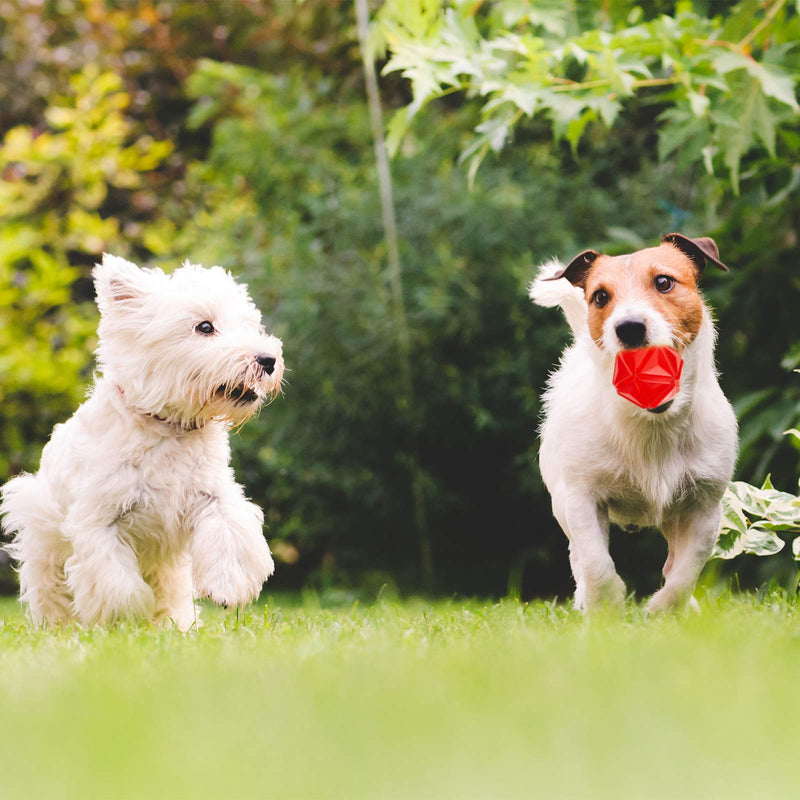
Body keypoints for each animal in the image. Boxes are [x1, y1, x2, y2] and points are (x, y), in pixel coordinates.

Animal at [0, 253, 284, 628]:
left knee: (170, 594)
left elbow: (229, 531)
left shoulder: (211, 494)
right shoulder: (99, 519)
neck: (169, 427)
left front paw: (227, 588)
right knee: (51, 590)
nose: (268, 360)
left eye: (251, 325)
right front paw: (126, 619)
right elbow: (118, 584)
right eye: (205, 327)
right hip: (42, 537)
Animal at [532, 234, 736, 616]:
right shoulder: (580, 499)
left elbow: (686, 572)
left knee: (673, 563)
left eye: (664, 282)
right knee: (578, 555)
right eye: (600, 296)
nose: (628, 327)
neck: (652, 421)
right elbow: (596, 561)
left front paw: (663, 609)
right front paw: (607, 604)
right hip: (562, 502)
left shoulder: (705, 507)